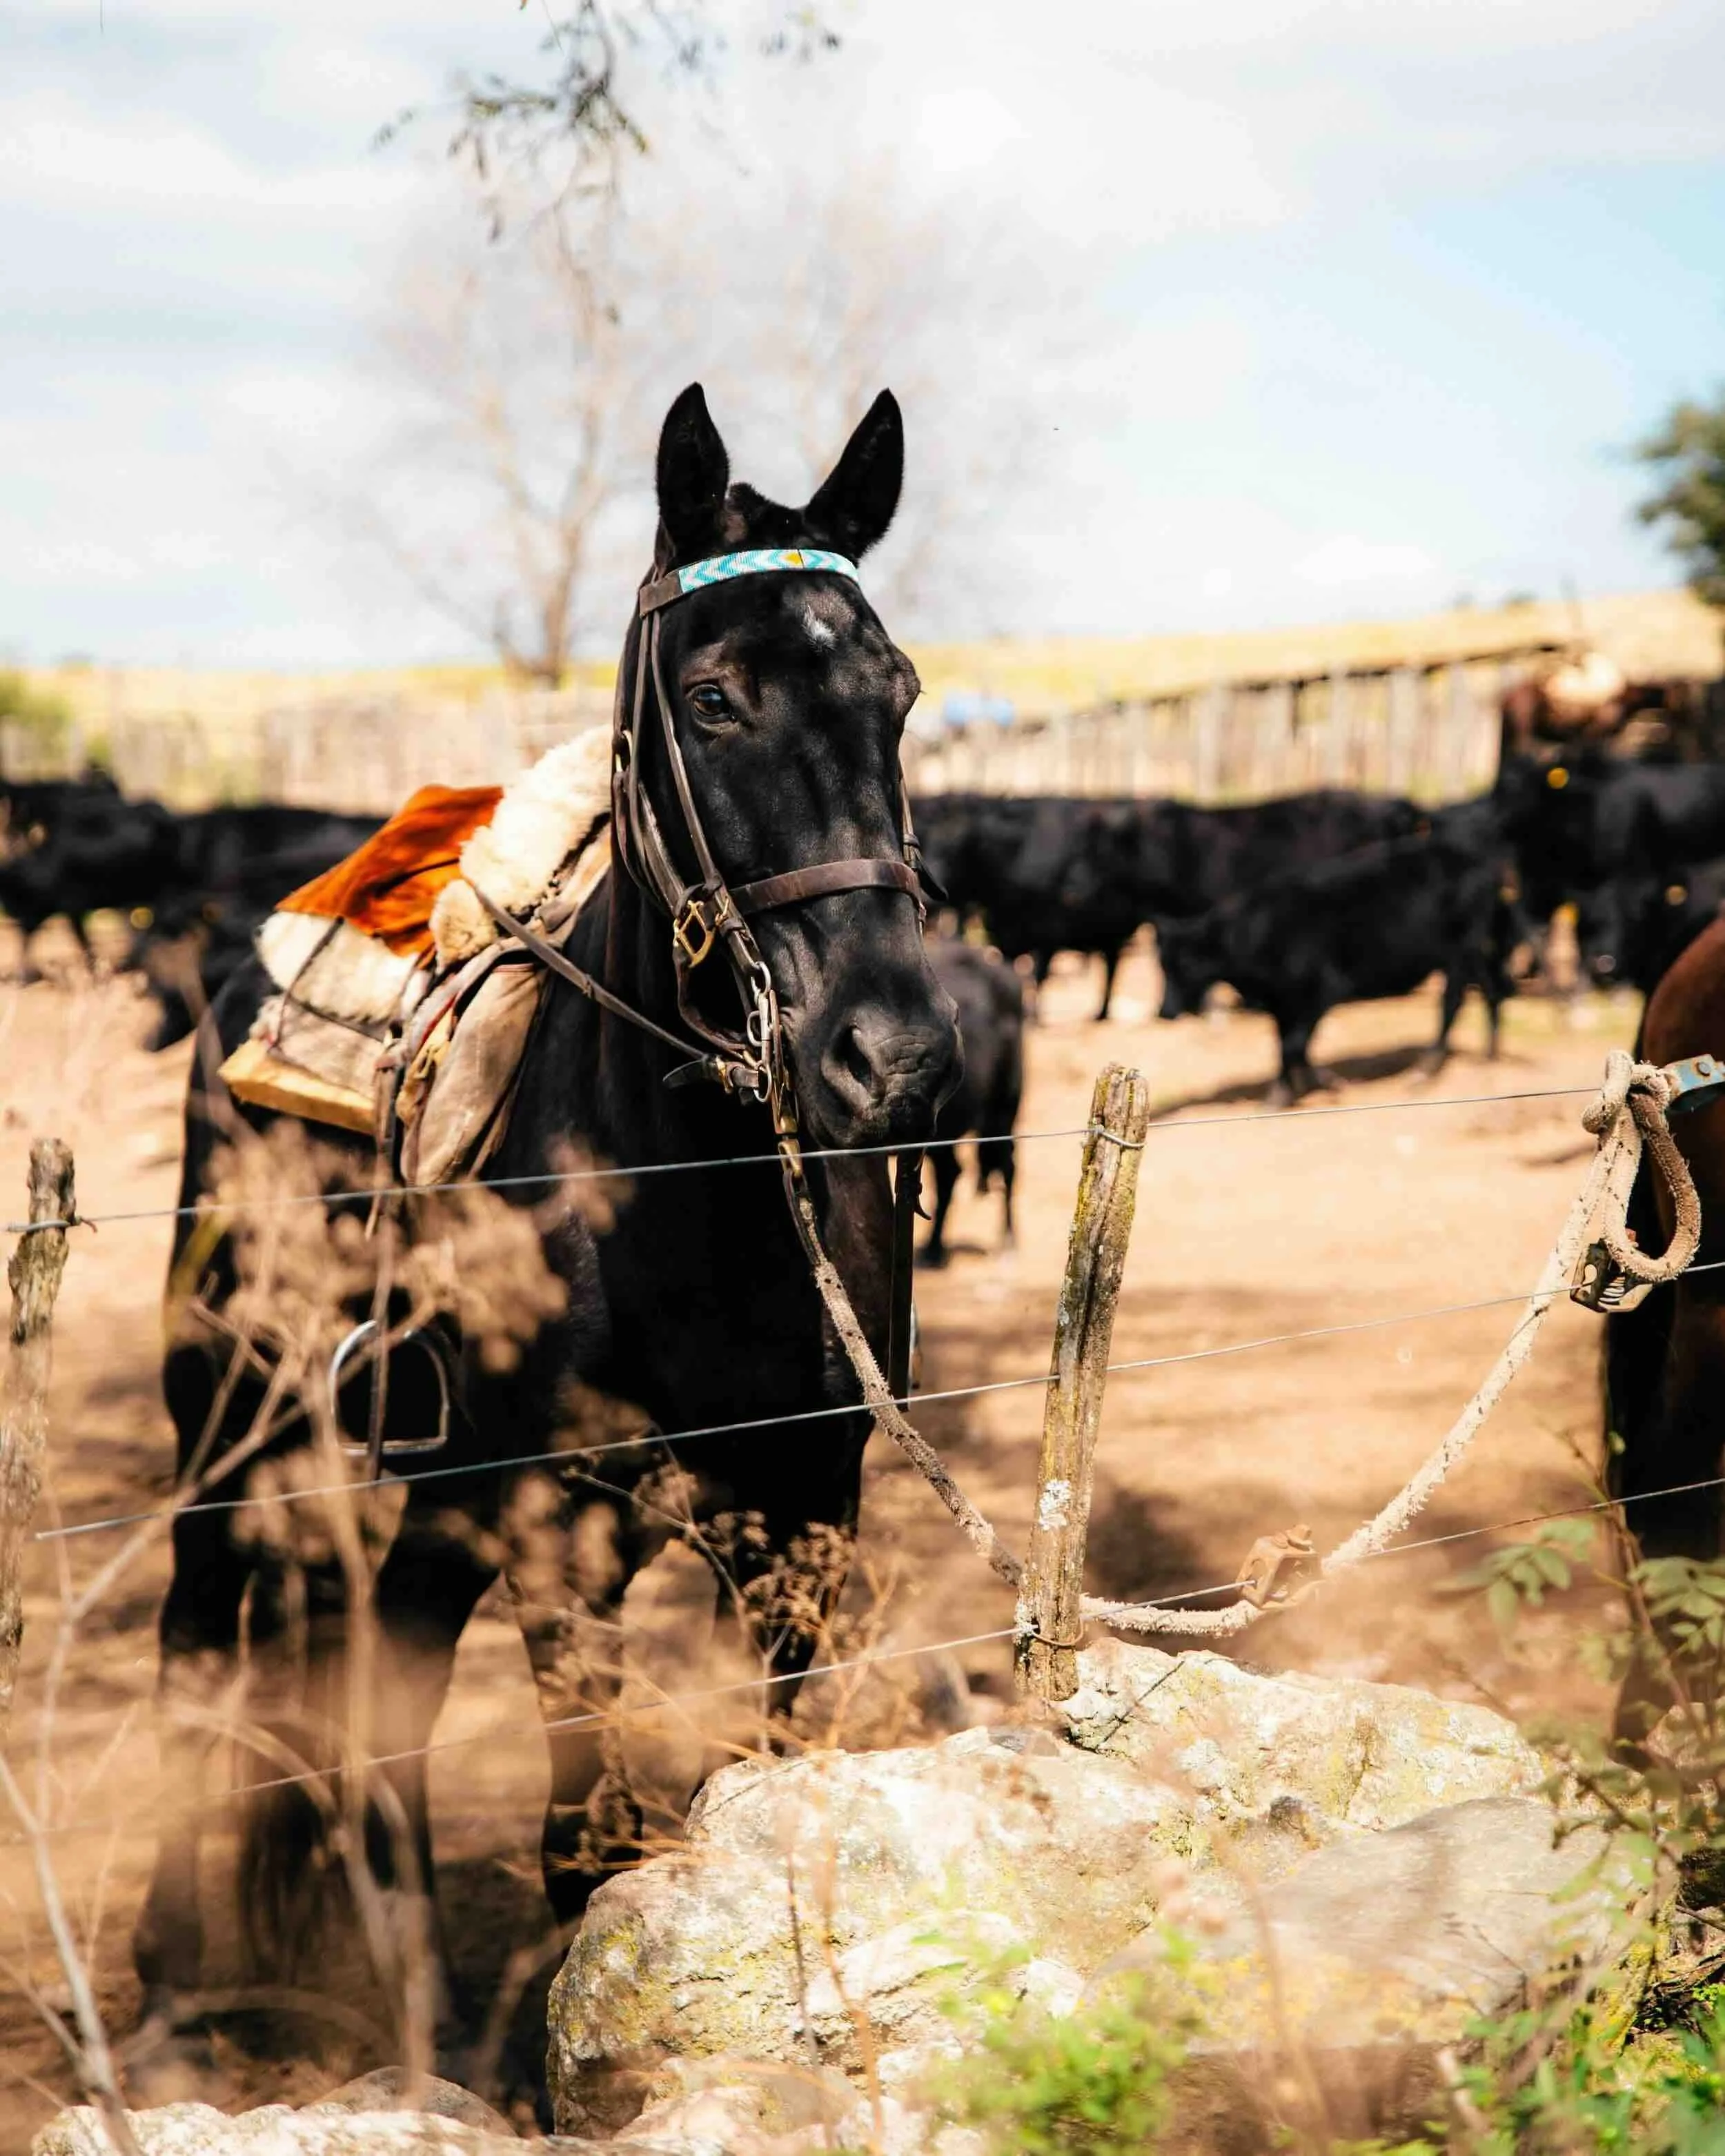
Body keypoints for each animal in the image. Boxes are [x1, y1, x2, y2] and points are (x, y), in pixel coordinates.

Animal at [132, 383, 962, 2049]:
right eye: (711, 697)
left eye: (898, 692)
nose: (893, 1058)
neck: (687, 1199)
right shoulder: (559, 1541)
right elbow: (586, 1835)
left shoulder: (808, 1518)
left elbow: (785, 1770)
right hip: (236, 1408)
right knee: (201, 1628)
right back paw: (182, 1966)